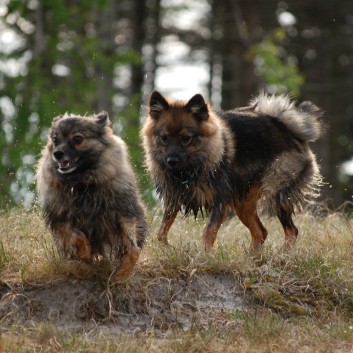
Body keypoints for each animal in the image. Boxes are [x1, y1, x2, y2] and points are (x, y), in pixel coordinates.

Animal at [37, 112, 148, 278]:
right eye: (55, 140)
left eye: (77, 139)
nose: (57, 153)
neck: (83, 184)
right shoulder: (60, 218)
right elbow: (77, 236)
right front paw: (84, 253)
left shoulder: (125, 212)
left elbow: (134, 248)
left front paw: (124, 271)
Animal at [142, 91, 324, 250]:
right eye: (164, 138)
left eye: (186, 138)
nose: (171, 161)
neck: (190, 169)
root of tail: (288, 128)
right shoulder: (172, 199)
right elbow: (161, 232)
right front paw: (167, 248)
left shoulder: (221, 201)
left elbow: (208, 231)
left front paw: (206, 256)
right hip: (243, 203)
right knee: (261, 232)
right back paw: (251, 258)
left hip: (277, 194)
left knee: (291, 231)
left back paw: (281, 256)